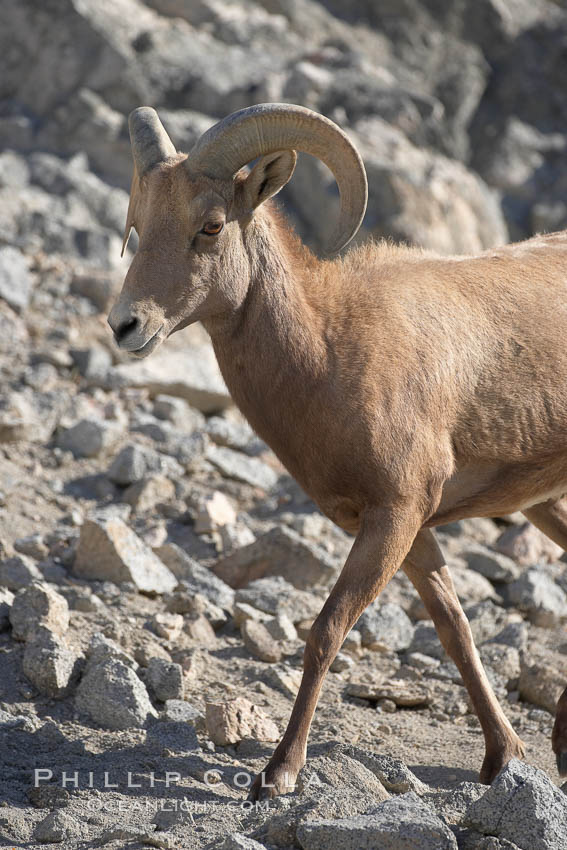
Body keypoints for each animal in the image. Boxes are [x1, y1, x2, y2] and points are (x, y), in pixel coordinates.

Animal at [108, 102, 567, 800]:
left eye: (210, 226)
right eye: (137, 224)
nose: (125, 325)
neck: (329, 347)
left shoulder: (393, 518)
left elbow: (326, 631)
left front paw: (279, 773)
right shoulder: (410, 531)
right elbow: (455, 630)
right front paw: (502, 760)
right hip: (547, 505)